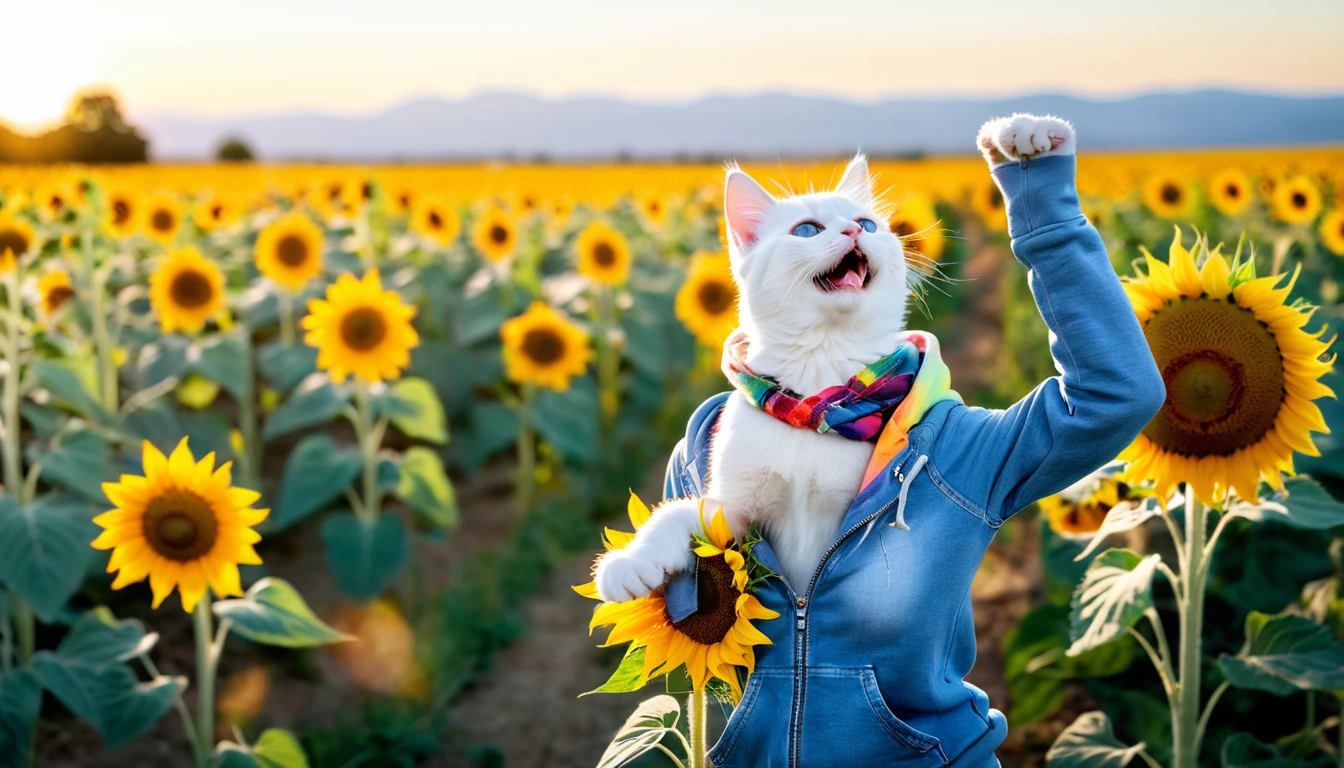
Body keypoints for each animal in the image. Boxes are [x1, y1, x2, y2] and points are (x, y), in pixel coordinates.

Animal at [599, 117, 1080, 605]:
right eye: (806, 230)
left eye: (868, 223)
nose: (854, 231)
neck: (819, 397)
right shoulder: (731, 512)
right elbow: (679, 513)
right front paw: (629, 562)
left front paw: (1024, 137)